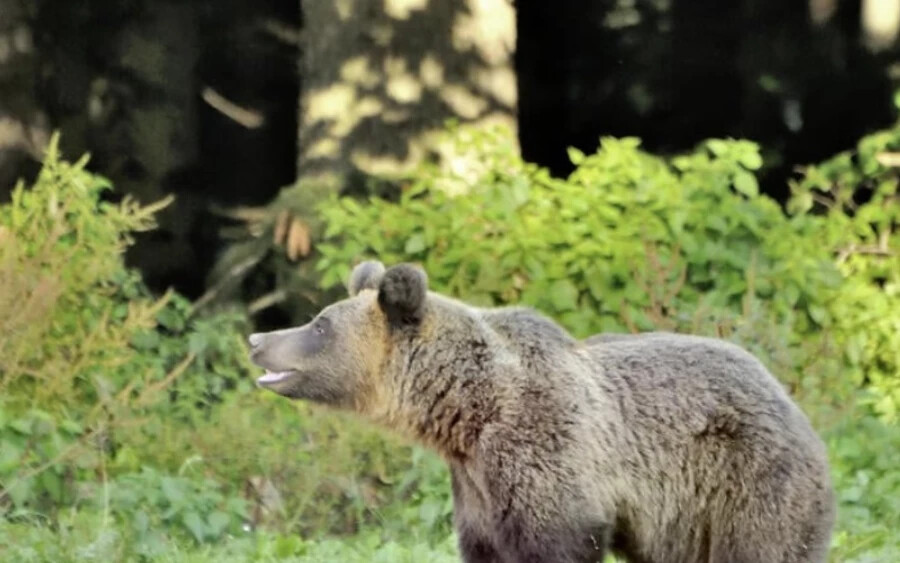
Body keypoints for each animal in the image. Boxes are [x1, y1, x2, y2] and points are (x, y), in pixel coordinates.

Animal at [248, 262, 836, 560]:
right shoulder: (477, 492)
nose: (257, 339)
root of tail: (787, 396)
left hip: (747, 483)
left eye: (319, 325)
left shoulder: (547, 459)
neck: (467, 409)